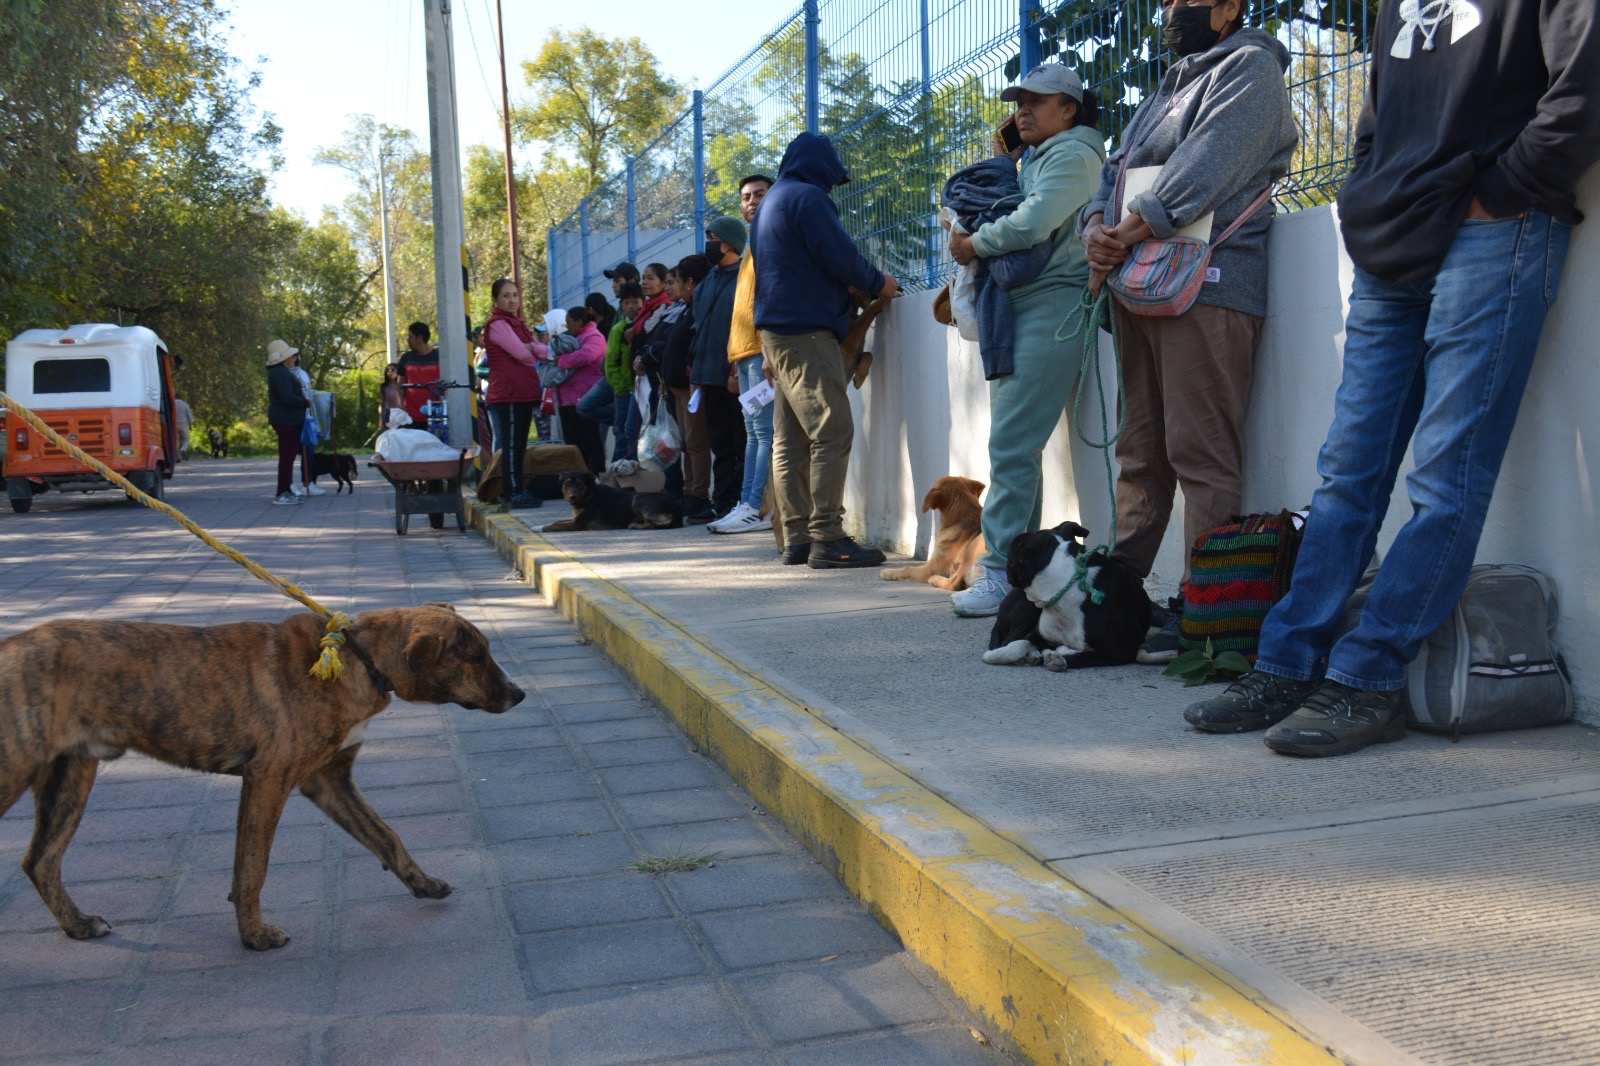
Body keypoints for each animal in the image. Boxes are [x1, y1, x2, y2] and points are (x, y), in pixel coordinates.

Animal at [0, 601, 524, 947]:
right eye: (475, 657)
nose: (518, 694)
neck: (359, 657)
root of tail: (10, 645)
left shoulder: (328, 781)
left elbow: (386, 836)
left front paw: (424, 883)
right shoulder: (269, 778)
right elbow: (253, 866)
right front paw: (254, 935)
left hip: (70, 777)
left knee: (40, 861)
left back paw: (79, 925)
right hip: (17, 769)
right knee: (39, 859)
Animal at [540, 467, 684, 528]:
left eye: (580, 485)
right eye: (567, 484)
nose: (572, 497)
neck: (589, 495)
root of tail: (677, 508)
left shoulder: (579, 523)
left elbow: (552, 527)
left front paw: (540, 528)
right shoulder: (576, 518)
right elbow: (556, 522)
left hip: (638, 497)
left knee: (652, 524)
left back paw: (634, 525)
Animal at [985, 518, 1152, 669]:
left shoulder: (1123, 650)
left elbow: (1078, 657)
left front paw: (1058, 654)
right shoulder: (1039, 634)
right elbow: (1021, 643)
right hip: (1027, 608)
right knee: (1009, 639)